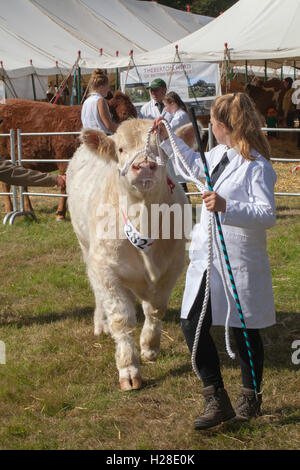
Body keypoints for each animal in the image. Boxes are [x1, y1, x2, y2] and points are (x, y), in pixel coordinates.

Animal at [67, 119, 189, 392]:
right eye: (121, 149)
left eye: (160, 148)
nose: (144, 165)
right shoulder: (105, 269)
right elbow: (121, 319)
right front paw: (128, 369)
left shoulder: (173, 266)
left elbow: (155, 309)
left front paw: (149, 346)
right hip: (85, 248)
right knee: (99, 295)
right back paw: (101, 324)